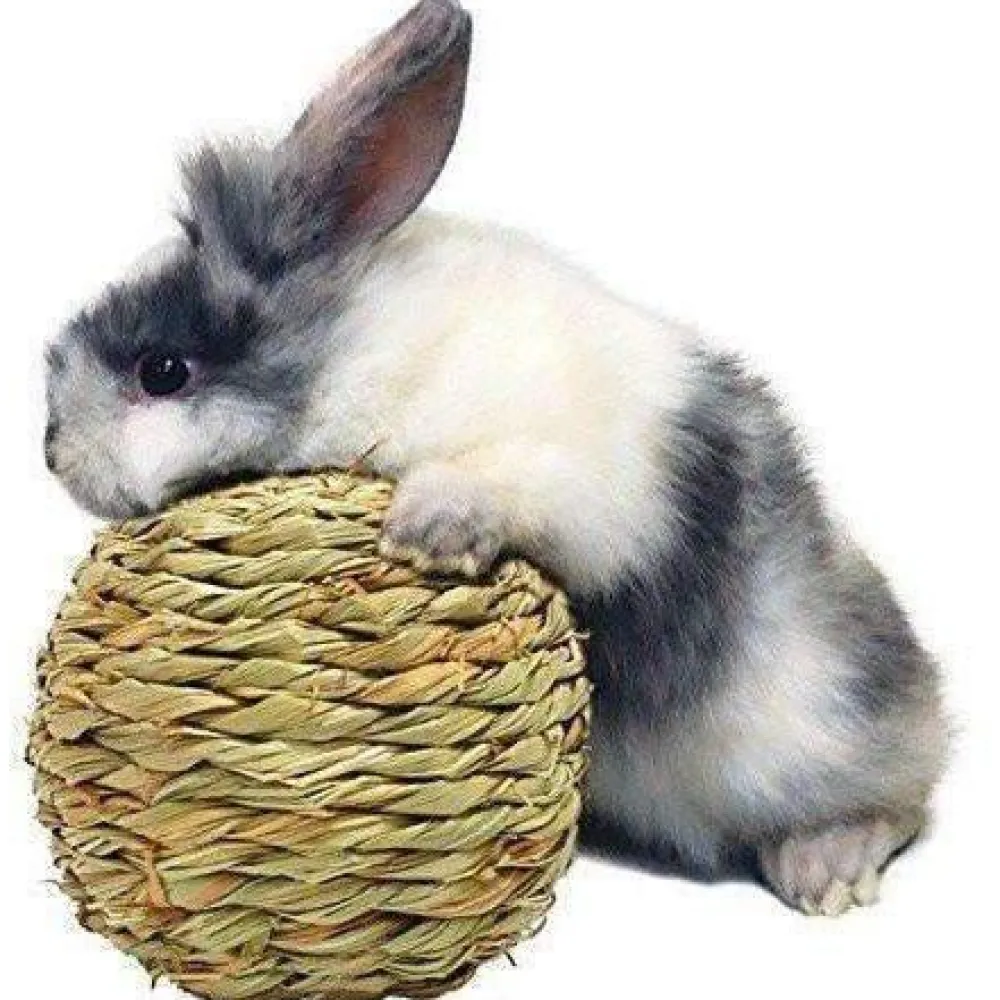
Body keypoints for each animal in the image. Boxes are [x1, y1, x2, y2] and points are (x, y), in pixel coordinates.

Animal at [44, 0, 946, 917]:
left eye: (162, 371)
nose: (52, 454)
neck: (350, 349)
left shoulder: (583, 474)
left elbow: (510, 480)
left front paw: (426, 530)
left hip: (814, 730)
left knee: (900, 799)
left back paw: (827, 868)